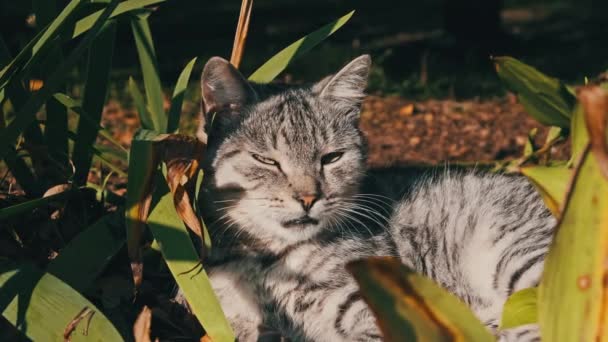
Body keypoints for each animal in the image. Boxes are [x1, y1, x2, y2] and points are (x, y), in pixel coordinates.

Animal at [186, 54, 556, 340]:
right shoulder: (225, 317)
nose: (308, 198)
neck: (270, 260)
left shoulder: (376, 310)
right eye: (267, 161)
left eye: (331, 158)